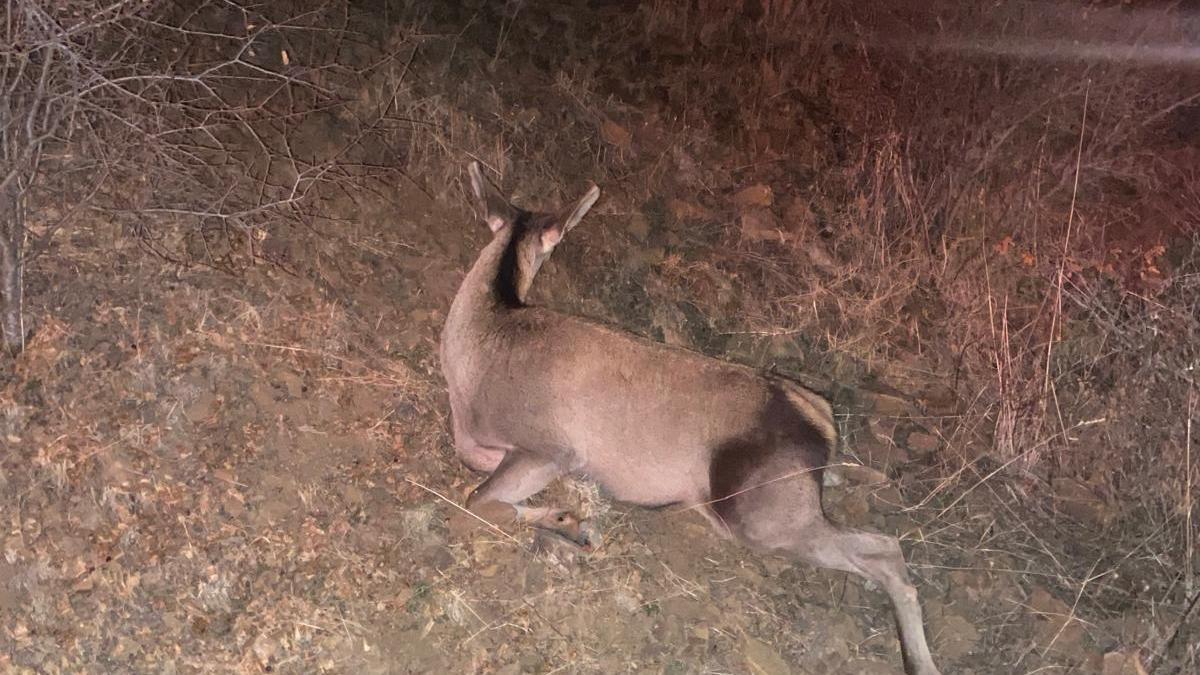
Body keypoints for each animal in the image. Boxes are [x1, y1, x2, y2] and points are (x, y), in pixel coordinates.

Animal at [441, 162, 945, 672]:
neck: (475, 359)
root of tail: (818, 416)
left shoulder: (549, 447)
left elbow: (475, 502)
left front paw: (568, 521)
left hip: (760, 513)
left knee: (885, 550)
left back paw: (920, 660)